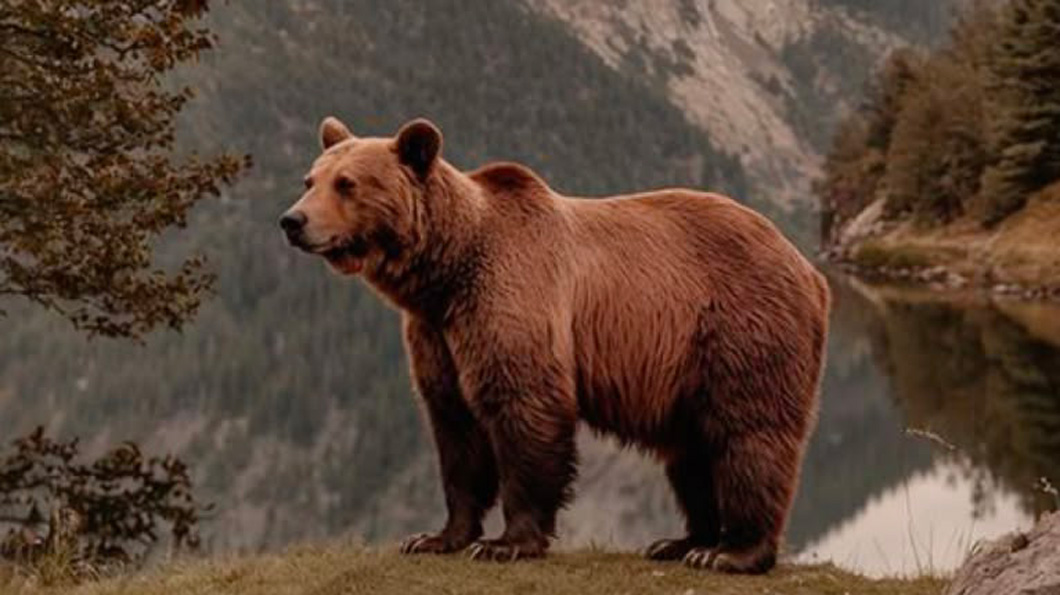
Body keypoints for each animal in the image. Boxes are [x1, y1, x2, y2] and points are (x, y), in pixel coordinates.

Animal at [279, 116, 831, 574]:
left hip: (739, 325)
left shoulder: (512, 299)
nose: (292, 221)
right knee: (692, 452)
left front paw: (507, 542)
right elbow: (455, 431)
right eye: (310, 179)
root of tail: (810, 269)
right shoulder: (437, 335)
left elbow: (524, 408)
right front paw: (436, 536)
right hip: (687, 370)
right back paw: (681, 541)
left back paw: (731, 552)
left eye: (347, 183)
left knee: (747, 432)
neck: (447, 273)